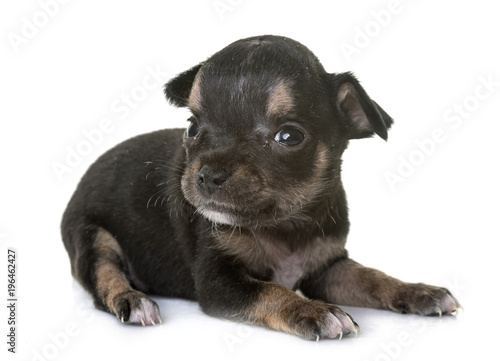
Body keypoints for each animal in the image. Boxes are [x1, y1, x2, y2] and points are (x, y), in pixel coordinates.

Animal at [62, 35, 460, 338]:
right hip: (92, 236)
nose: (208, 174)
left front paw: (417, 292)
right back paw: (132, 300)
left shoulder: (328, 268)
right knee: (103, 275)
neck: (284, 223)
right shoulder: (220, 282)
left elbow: (371, 277)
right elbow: (270, 291)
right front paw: (312, 311)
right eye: (192, 127)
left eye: (289, 136)